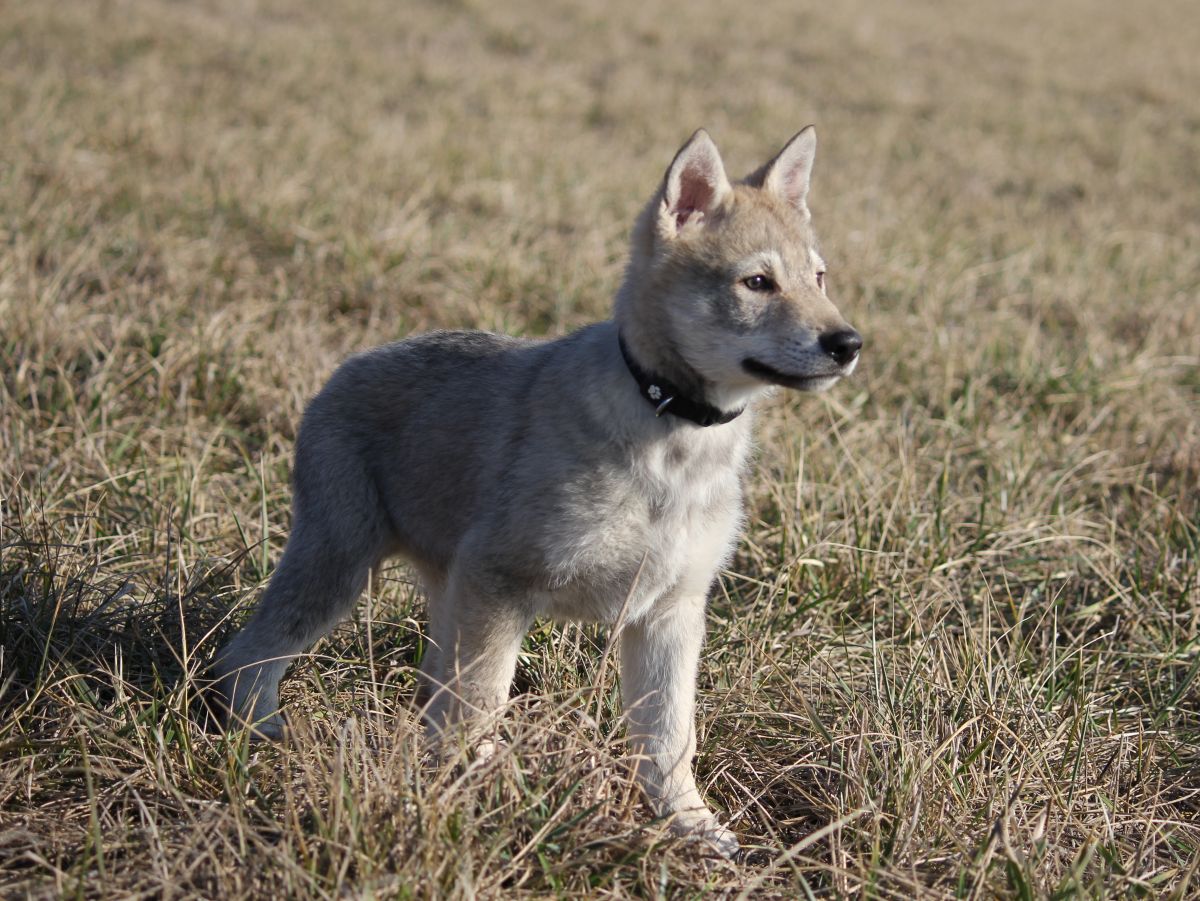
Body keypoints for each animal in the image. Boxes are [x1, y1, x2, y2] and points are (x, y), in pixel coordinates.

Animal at [213, 125, 854, 854]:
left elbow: (669, 738)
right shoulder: (501, 583)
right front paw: (483, 801)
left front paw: (689, 825)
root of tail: (346, 367)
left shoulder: (672, 611)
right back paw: (259, 731)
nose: (848, 342)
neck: (671, 435)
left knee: (429, 694)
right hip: (339, 567)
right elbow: (482, 705)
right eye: (757, 282)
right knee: (249, 654)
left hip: (441, 590)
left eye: (819, 277)